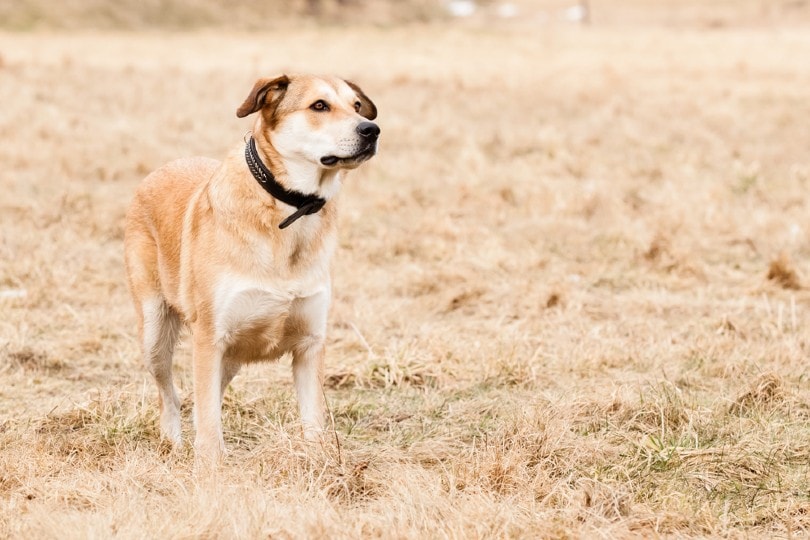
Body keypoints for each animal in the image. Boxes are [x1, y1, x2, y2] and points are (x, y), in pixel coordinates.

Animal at [123, 73, 378, 464]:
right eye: (319, 106)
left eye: (356, 106)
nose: (372, 129)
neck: (290, 210)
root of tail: (163, 168)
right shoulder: (210, 338)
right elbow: (208, 422)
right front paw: (209, 469)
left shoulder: (310, 345)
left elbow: (313, 423)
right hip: (155, 333)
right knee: (172, 396)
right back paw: (172, 443)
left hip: (230, 354)